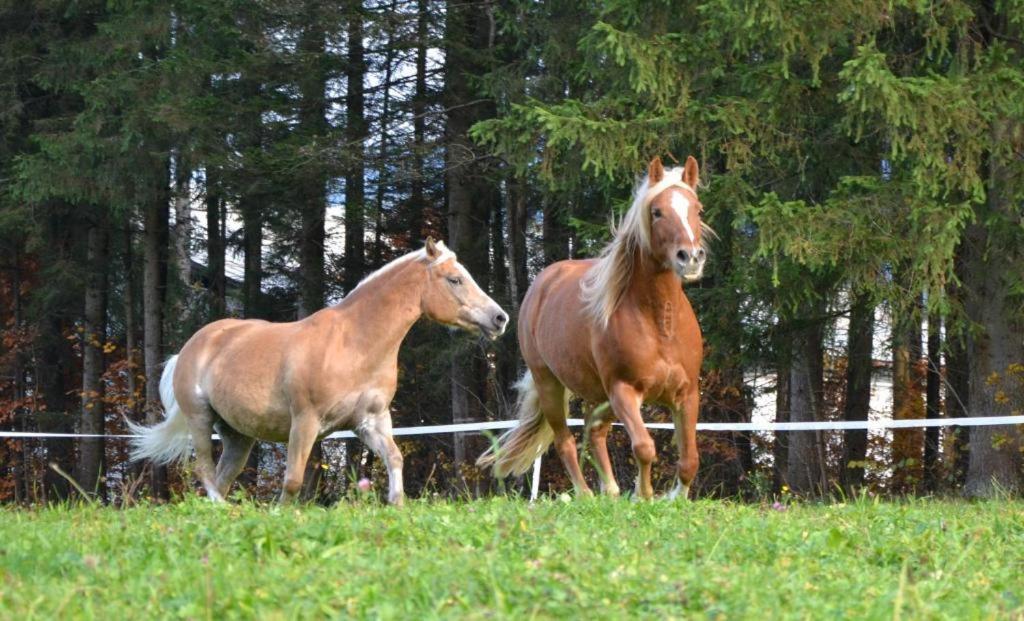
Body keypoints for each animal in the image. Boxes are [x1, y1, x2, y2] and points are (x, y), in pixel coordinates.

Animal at [131, 238, 507, 506]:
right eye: (455, 279)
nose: (499, 318)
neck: (354, 344)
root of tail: (192, 346)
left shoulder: (370, 421)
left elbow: (395, 459)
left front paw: (396, 506)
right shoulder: (305, 421)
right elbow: (293, 481)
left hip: (238, 435)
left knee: (223, 477)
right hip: (199, 418)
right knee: (205, 471)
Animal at [475, 155, 708, 502]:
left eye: (698, 209)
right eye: (656, 211)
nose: (690, 257)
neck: (658, 323)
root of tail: (543, 284)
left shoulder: (687, 393)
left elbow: (689, 459)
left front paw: (673, 498)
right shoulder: (623, 391)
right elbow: (644, 447)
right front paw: (643, 495)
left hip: (597, 395)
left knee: (594, 431)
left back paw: (609, 490)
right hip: (551, 385)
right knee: (566, 441)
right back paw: (585, 493)